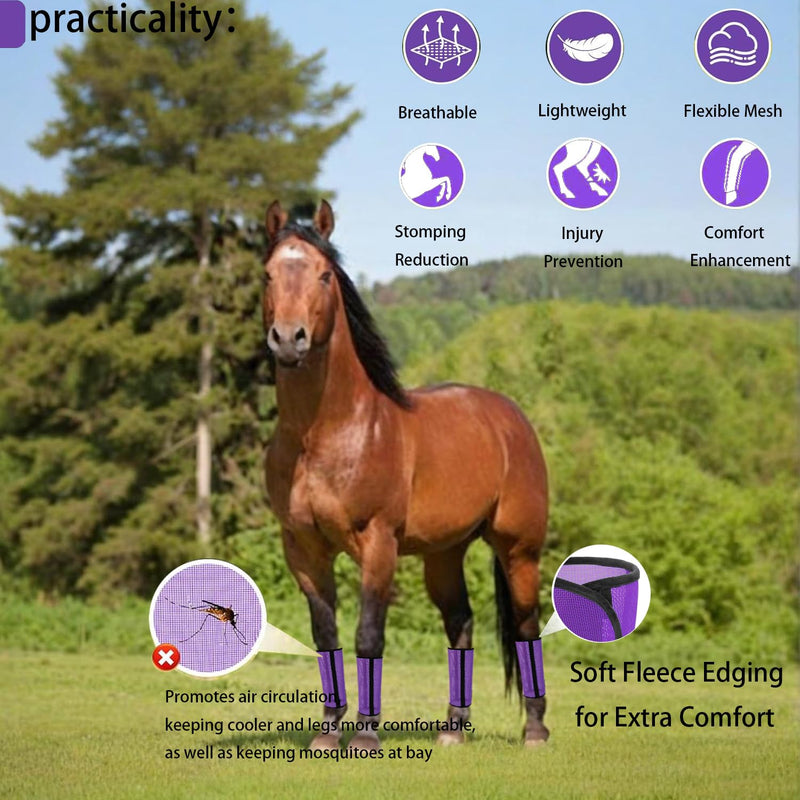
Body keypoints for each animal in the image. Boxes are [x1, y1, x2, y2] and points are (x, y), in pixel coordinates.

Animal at [262, 200, 548, 750]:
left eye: (324, 274)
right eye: (266, 274)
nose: (289, 339)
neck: (326, 433)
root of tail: (511, 418)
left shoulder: (378, 544)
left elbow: (368, 635)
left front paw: (365, 736)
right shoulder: (303, 550)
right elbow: (326, 635)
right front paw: (328, 733)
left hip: (519, 549)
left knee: (526, 626)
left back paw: (535, 730)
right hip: (444, 555)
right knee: (461, 623)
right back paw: (453, 729)